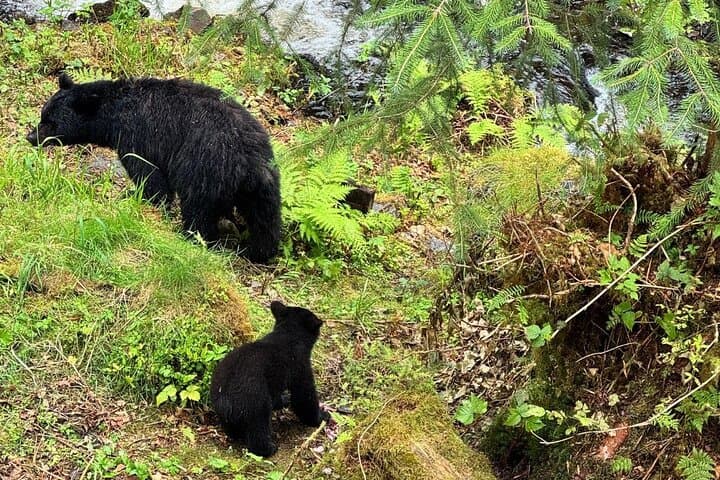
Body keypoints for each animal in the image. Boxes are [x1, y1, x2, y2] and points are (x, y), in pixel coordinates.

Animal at [27, 73, 281, 263]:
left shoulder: (138, 136)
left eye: (50, 122)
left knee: (198, 207)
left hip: (203, 165)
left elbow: (150, 176)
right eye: (43, 114)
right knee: (265, 220)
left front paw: (138, 198)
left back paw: (191, 236)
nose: (31, 137)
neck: (113, 116)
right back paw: (257, 251)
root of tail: (249, 162)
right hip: (266, 182)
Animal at [210, 301, 329, 457]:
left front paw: (284, 399)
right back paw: (269, 448)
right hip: (254, 400)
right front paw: (322, 416)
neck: (288, 335)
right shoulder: (299, 365)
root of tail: (225, 401)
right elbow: (304, 396)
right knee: (259, 425)